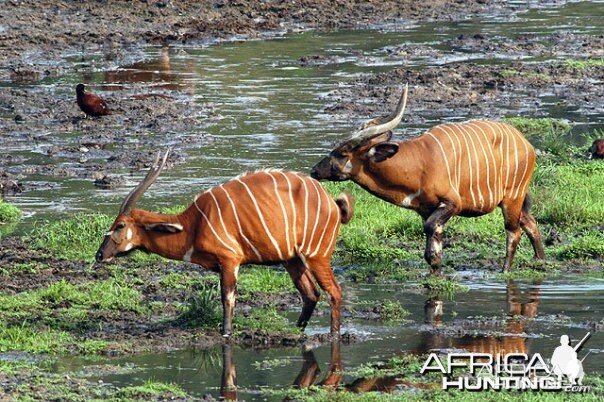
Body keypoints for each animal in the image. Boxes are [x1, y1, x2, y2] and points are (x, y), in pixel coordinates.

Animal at [96, 152, 352, 338]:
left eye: (120, 225)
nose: (99, 255)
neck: (194, 224)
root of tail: (334, 204)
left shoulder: (229, 260)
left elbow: (227, 298)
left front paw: (226, 332)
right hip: (291, 259)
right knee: (311, 294)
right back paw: (295, 330)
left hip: (316, 255)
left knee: (334, 292)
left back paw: (333, 335)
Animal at [312, 85, 548, 274]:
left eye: (342, 153)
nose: (314, 171)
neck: (420, 163)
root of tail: (525, 143)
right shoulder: (426, 209)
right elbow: (432, 251)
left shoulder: (452, 203)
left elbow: (431, 237)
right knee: (530, 222)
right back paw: (540, 260)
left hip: (512, 197)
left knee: (514, 232)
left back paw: (505, 271)